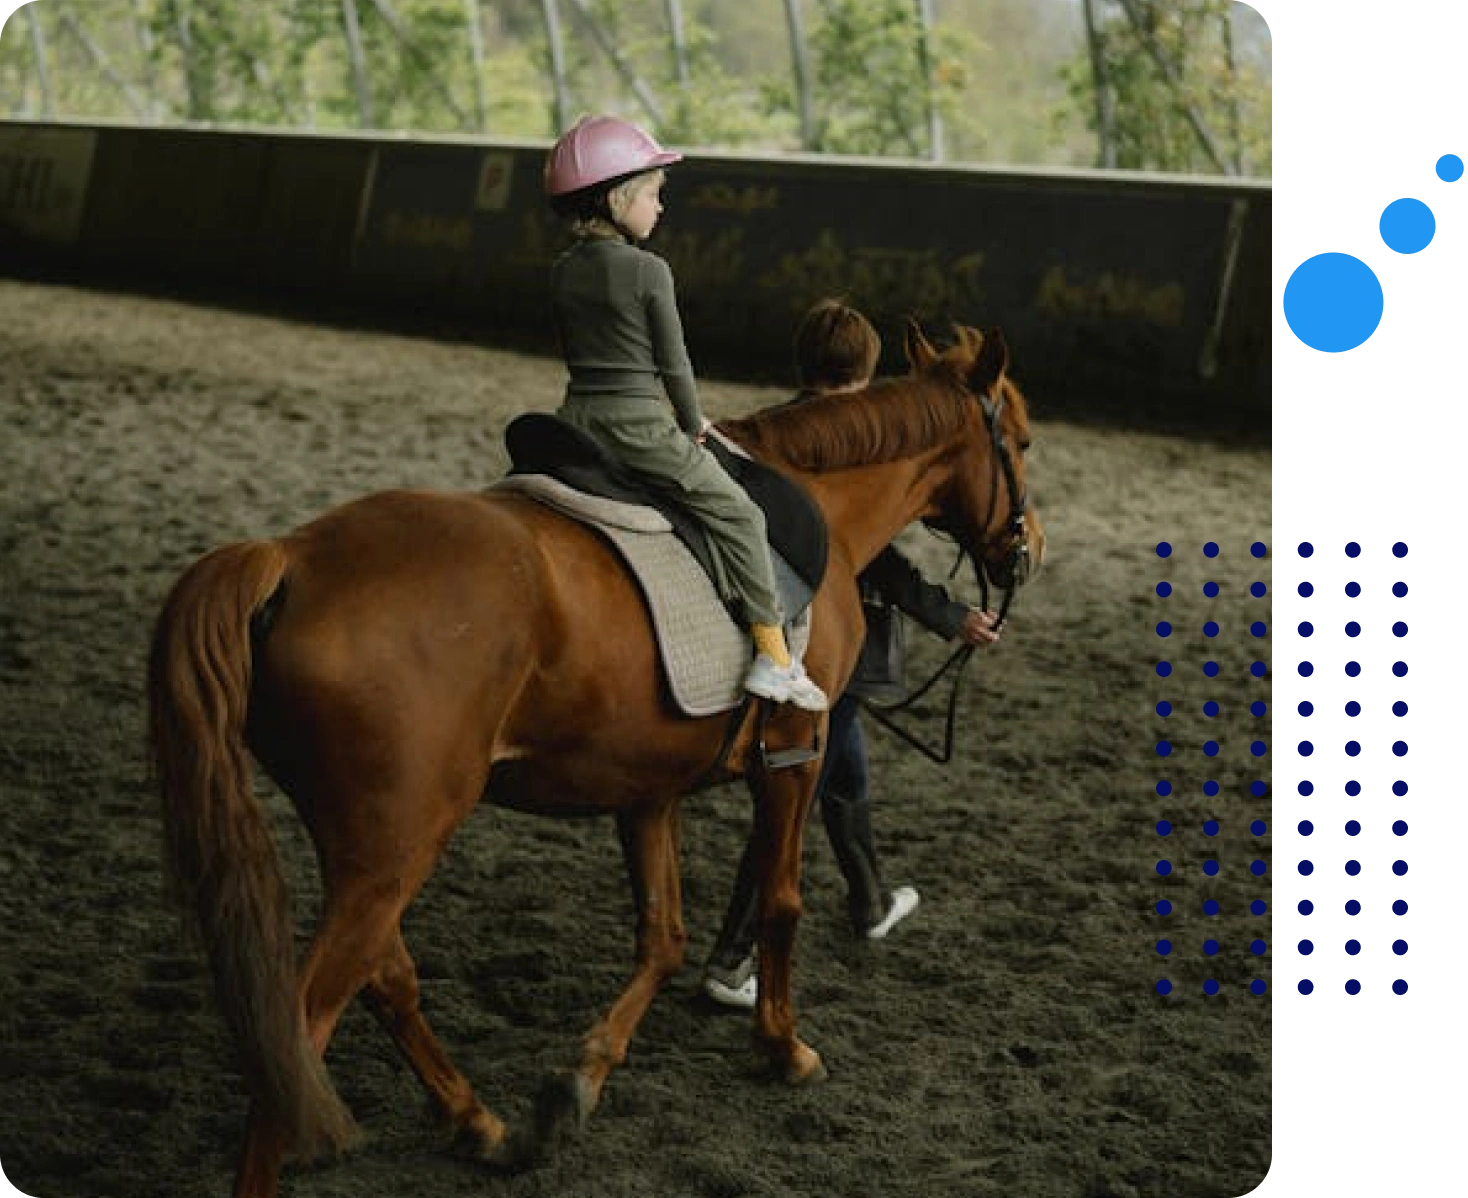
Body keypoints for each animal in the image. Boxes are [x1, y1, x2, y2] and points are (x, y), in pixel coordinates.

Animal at [146, 322, 1045, 1192]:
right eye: (1024, 442)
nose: (1028, 548)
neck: (824, 501)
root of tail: (292, 557)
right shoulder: (796, 754)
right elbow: (781, 902)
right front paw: (785, 1049)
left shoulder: (648, 788)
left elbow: (665, 935)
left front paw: (581, 1079)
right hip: (396, 847)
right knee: (297, 1030)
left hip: (371, 852)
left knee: (384, 980)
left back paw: (483, 1126)